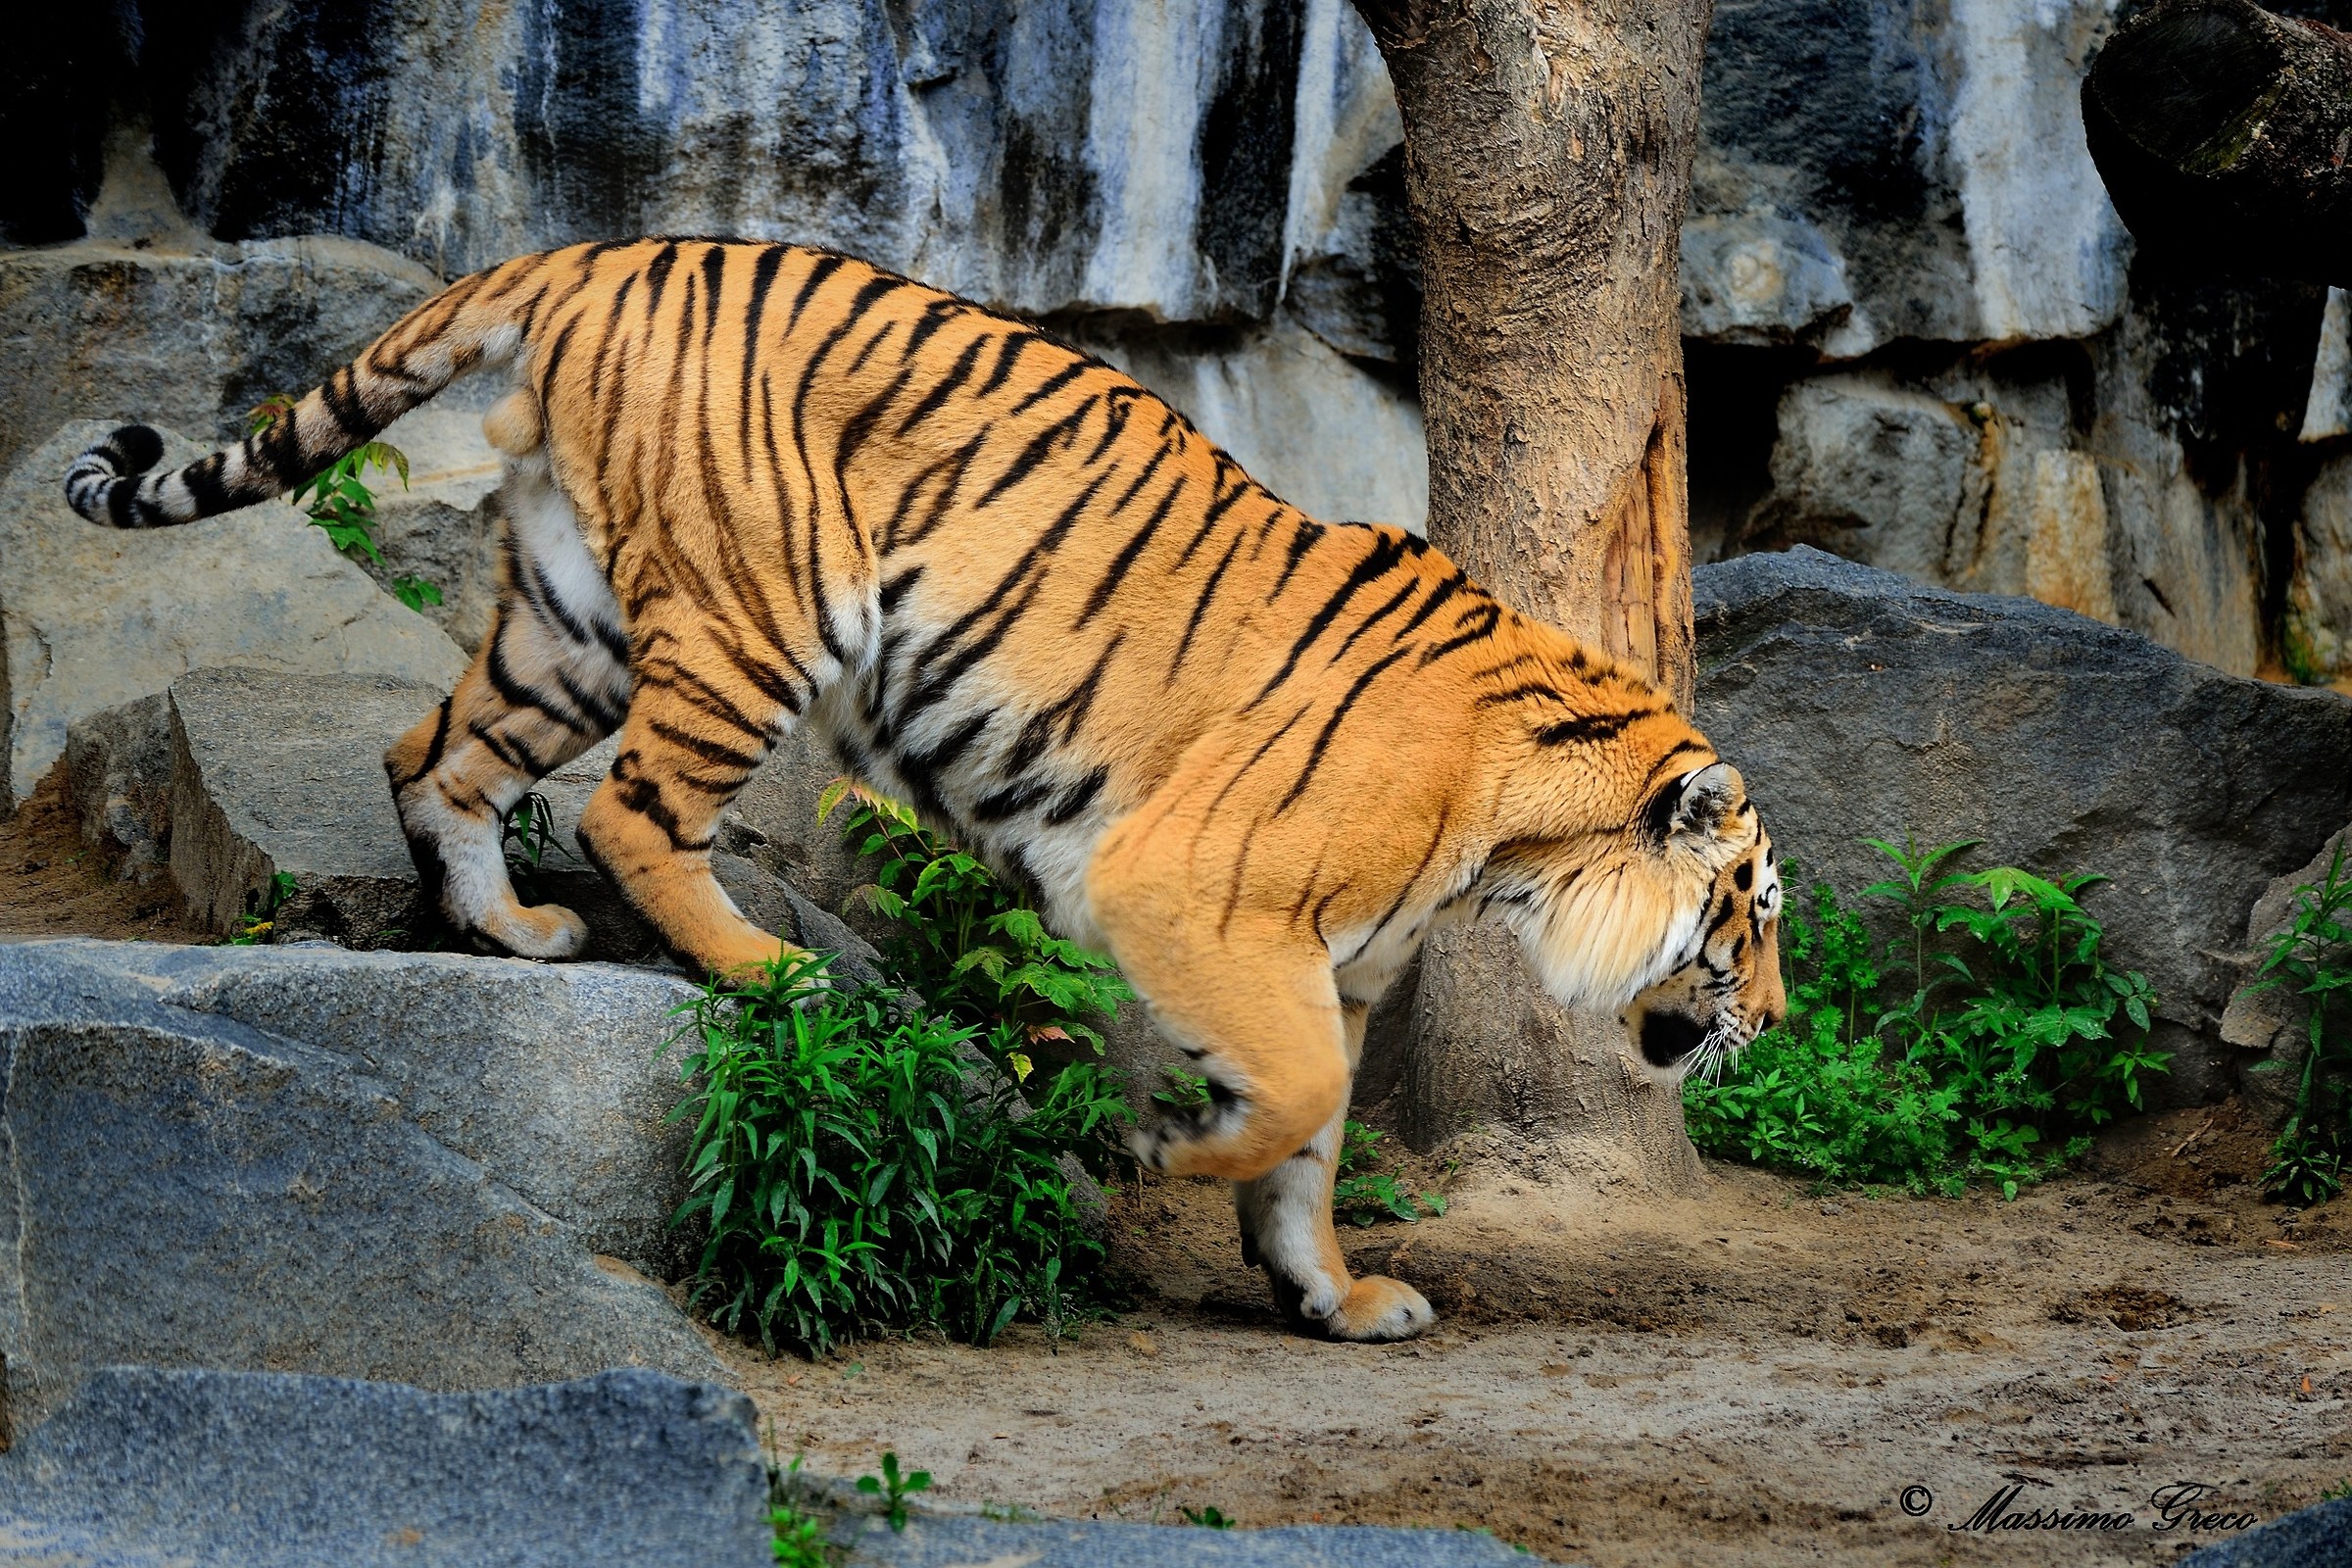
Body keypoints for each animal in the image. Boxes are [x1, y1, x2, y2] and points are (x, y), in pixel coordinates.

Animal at [63, 238, 1785, 1343]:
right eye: (1752, 916)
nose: (1768, 1019)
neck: (1516, 842)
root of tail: (594, 251)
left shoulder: (1340, 970)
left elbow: (1312, 1153)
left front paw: (1336, 1298)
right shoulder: (1193, 896)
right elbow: (1290, 1102)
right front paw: (1153, 1155)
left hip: (570, 621)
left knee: (433, 755)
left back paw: (510, 933)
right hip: (759, 610)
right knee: (631, 813)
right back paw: (773, 971)